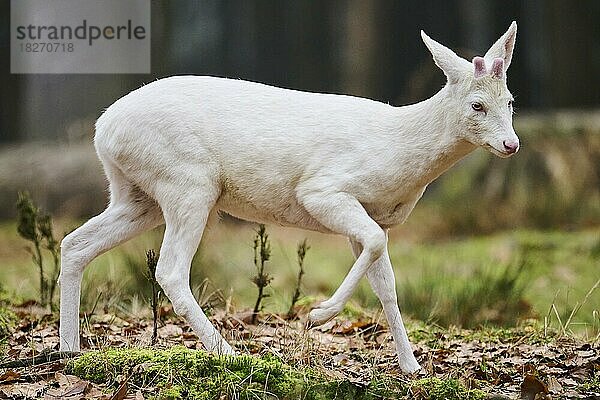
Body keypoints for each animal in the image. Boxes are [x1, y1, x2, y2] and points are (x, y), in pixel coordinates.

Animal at [59, 21, 520, 372]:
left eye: (511, 101)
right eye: (477, 105)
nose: (511, 144)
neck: (399, 149)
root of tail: (102, 129)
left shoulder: (374, 214)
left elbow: (386, 283)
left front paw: (412, 367)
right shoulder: (323, 189)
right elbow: (374, 243)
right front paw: (318, 314)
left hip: (137, 194)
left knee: (74, 243)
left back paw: (69, 350)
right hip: (186, 182)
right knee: (170, 270)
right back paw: (231, 353)